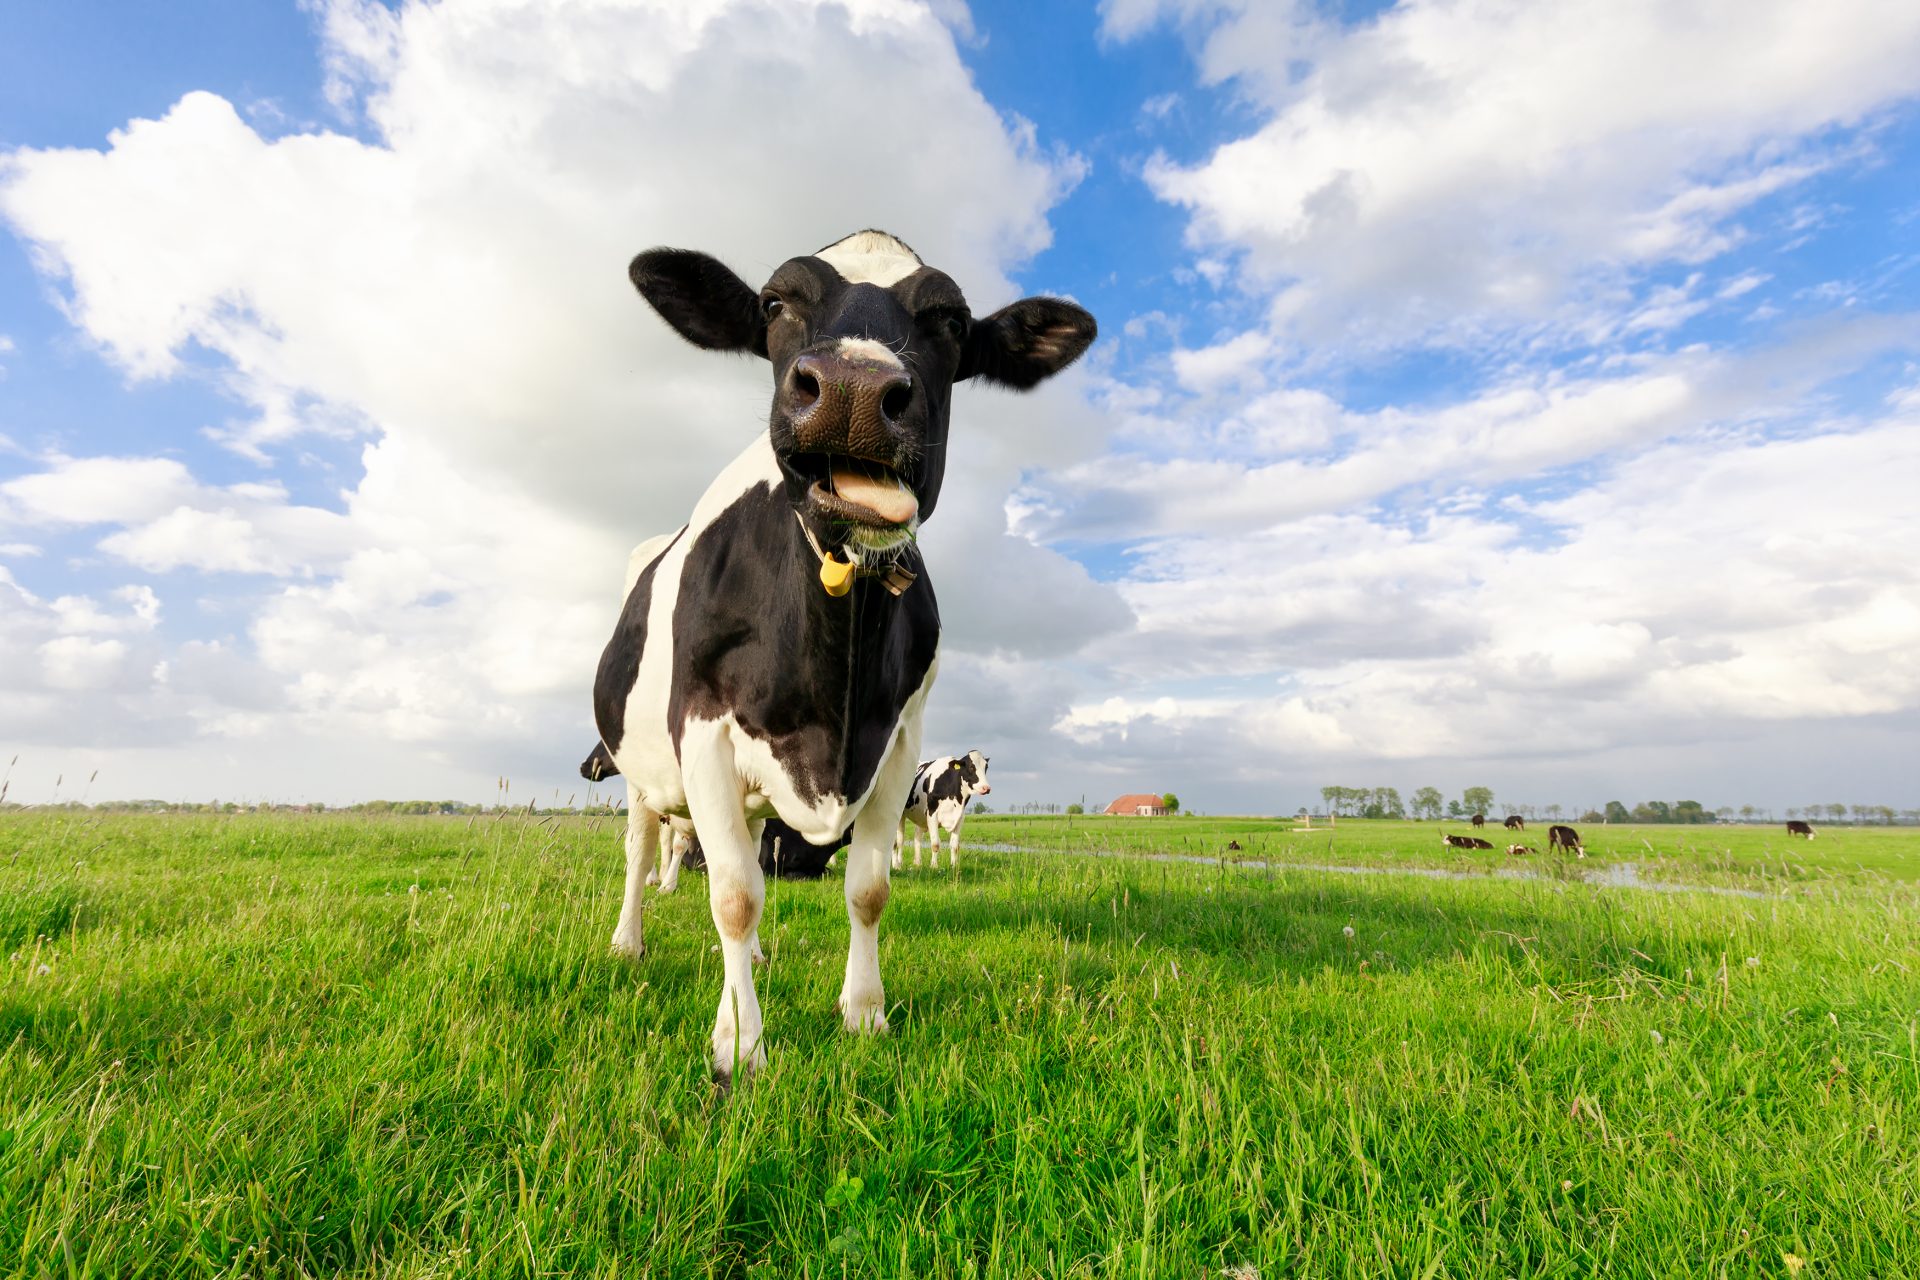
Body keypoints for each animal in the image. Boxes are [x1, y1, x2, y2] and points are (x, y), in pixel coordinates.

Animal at [591, 230, 1093, 1080]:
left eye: (952, 320)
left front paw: (864, 1012)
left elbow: (866, 889)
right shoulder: (702, 730)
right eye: (773, 303)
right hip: (638, 765)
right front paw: (741, 1042)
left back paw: (757, 959)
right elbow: (732, 894)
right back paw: (630, 941)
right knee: (641, 845)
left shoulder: (898, 741)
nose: (854, 388)